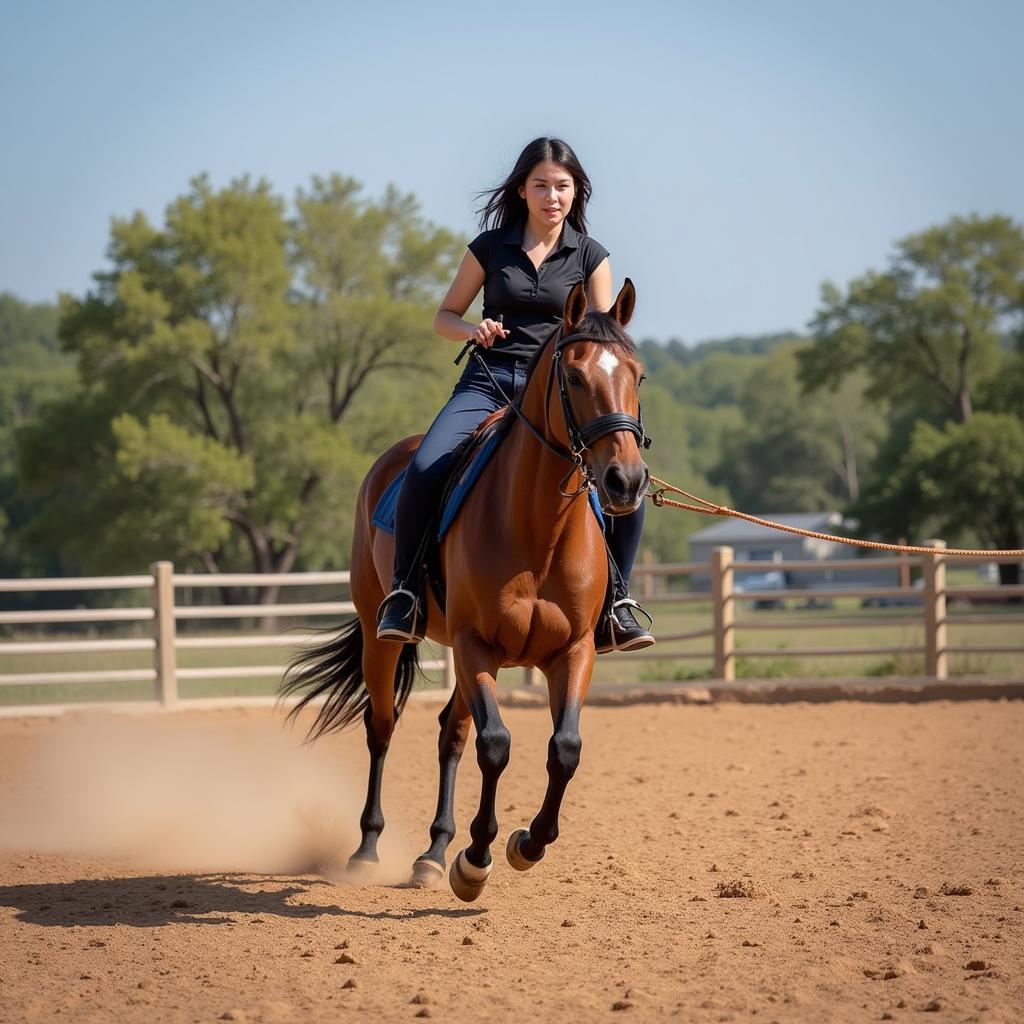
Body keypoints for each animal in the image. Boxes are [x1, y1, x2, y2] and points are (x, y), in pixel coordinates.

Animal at [280, 280, 647, 905]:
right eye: (575, 377)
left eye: (637, 375)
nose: (627, 480)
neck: (539, 528)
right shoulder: (478, 645)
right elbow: (495, 744)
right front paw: (476, 860)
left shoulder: (573, 650)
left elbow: (564, 748)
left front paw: (527, 843)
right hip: (384, 637)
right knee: (382, 727)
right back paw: (369, 848)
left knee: (449, 733)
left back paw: (432, 853)